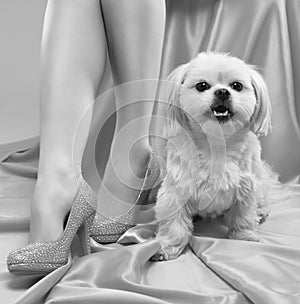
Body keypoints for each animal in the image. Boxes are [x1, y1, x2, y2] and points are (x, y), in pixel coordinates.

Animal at [154, 52, 280, 262]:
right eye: (201, 86)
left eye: (237, 85)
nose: (222, 92)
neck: (217, 144)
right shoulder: (176, 190)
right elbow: (174, 223)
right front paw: (168, 246)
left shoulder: (247, 187)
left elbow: (244, 216)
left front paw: (244, 236)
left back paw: (261, 211)